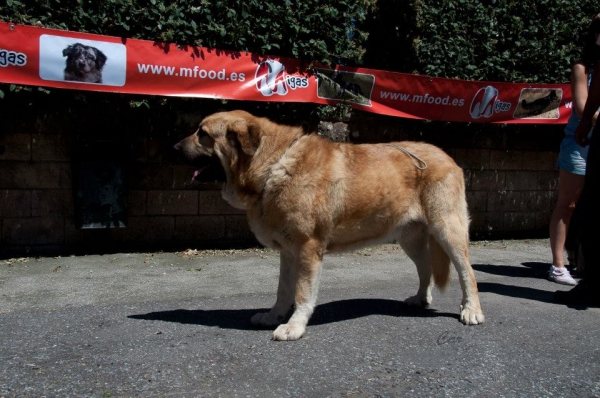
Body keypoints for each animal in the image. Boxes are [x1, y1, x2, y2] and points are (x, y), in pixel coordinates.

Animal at [172, 110, 482, 340]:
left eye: (202, 134)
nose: (173, 147)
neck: (273, 164)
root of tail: (447, 155)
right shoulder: (288, 252)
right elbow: (283, 290)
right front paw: (273, 315)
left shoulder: (308, 248)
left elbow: (302, 292)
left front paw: (294, 326)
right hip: (410, 240)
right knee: (425, 266)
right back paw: (420, 298)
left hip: (447, 230)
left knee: (467, 273)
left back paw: (471, 310)